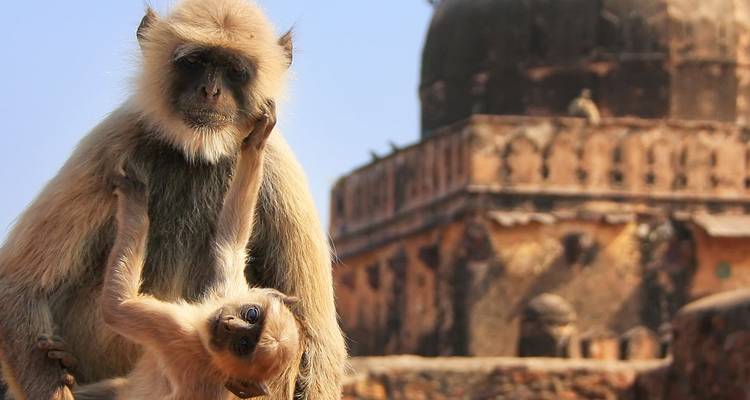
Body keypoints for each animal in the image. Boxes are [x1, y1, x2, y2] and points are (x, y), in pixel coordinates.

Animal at [0, 1, 346, 399]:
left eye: (233, 71)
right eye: (195, 62)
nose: (210, 90)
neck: (198, 154)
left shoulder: (282, 170)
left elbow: (318, 335)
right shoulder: (114, 141)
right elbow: (18, 288)